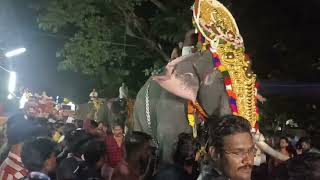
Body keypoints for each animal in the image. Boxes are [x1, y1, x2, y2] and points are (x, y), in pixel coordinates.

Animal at [134, 0, 288, 165]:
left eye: (254, 81)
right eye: (221, 80)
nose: (260, 158)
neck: (194, 57)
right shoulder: (170, 106)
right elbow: (168, 153)